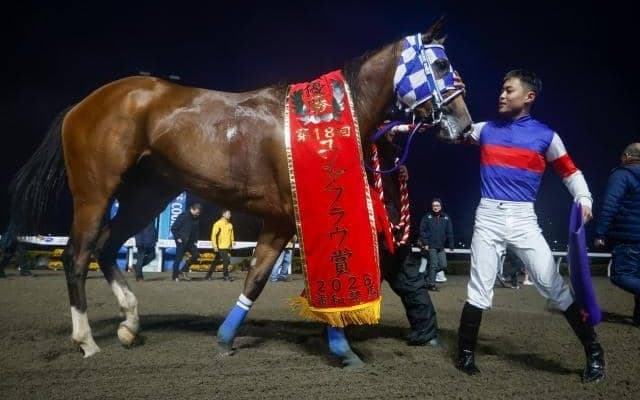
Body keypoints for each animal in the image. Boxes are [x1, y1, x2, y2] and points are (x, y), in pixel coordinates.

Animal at [6, 17, 472, 365]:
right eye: (441, 66)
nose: (464, 125)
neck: (324, 121)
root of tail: (83, 104)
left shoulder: (279, 219)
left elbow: (258, 275)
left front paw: (227, 337)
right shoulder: (301, 213)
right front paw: (342, 348)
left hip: (148, 194)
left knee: (106, 247)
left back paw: (129, 324)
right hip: (95, 192)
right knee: (77, 255)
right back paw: (86, 340)